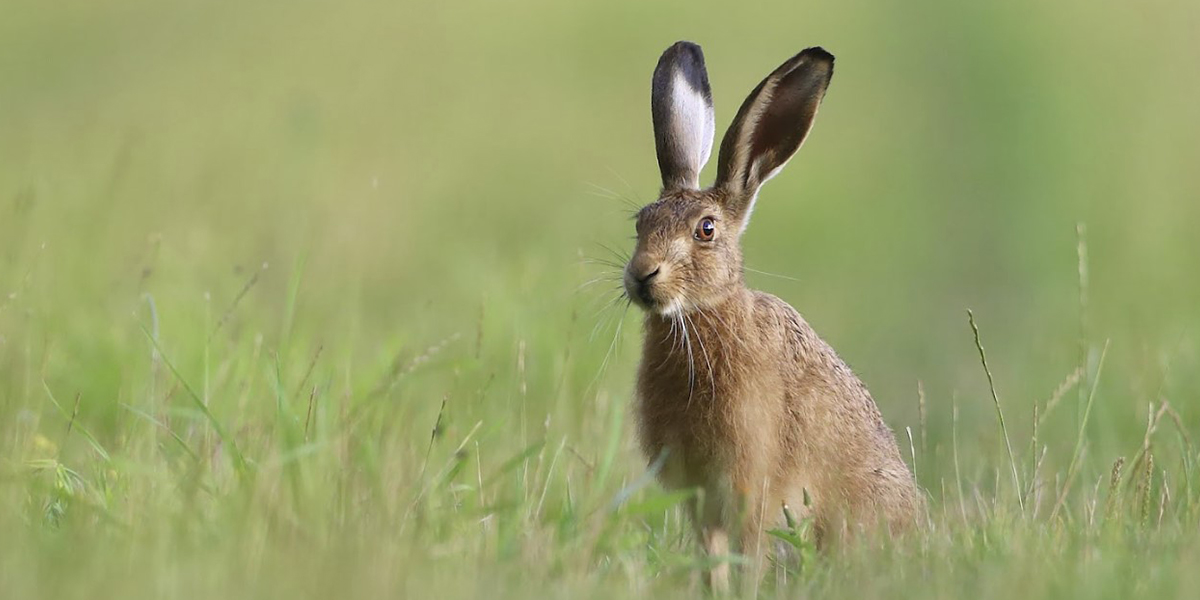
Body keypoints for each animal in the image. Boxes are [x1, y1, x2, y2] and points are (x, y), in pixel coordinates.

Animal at [623, 41, 923, 591]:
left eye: (706, 230)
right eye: (640, 223)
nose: (640, 275)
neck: (705, 316)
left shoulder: (751, 487)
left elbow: (749, 557)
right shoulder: (701, 500)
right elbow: (711, 560)